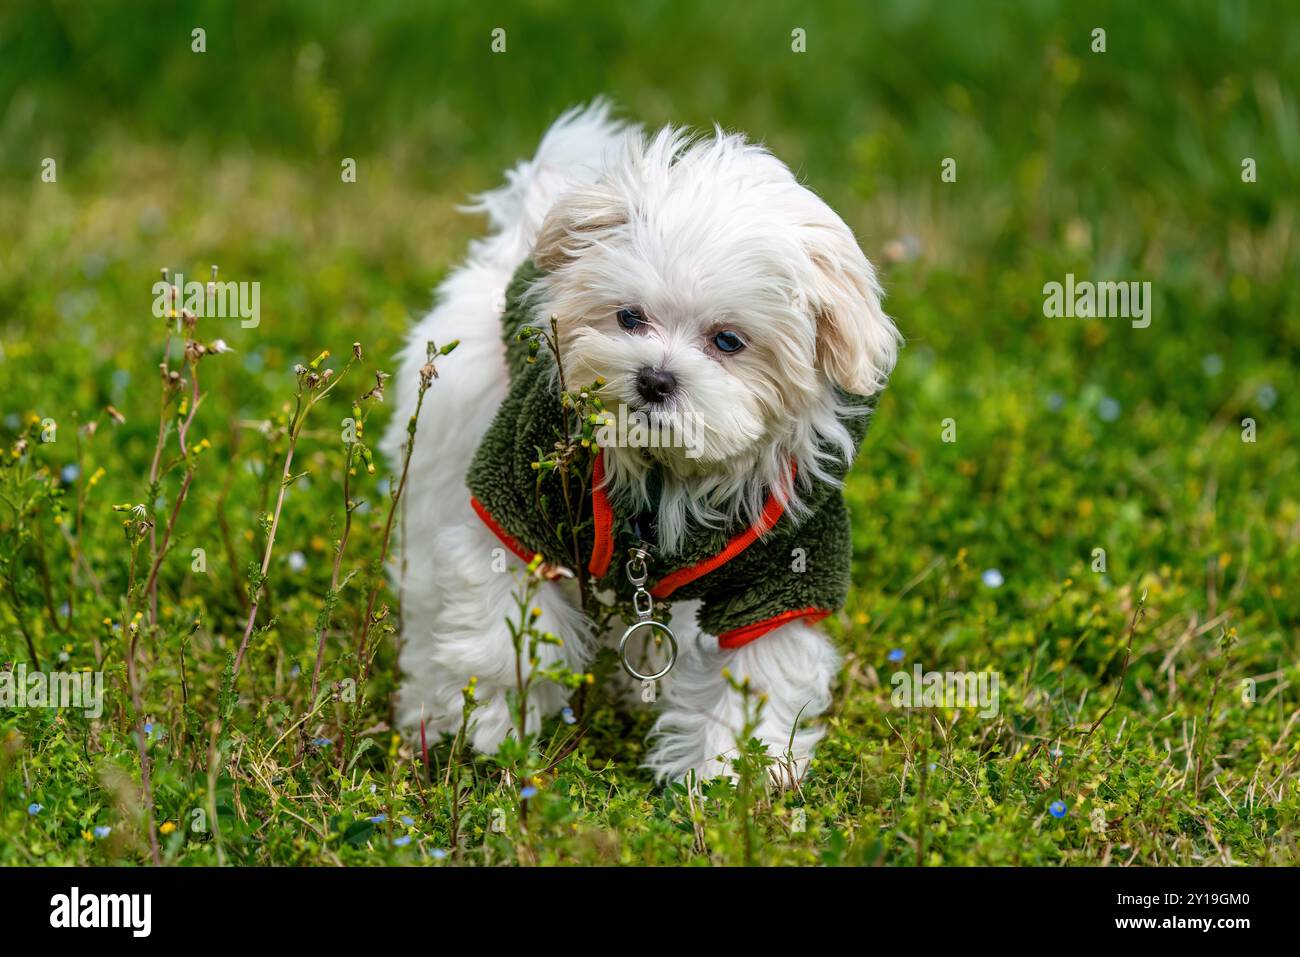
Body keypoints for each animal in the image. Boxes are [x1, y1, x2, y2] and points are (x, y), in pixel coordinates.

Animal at [379, 100, 899, 780]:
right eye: (629, 318)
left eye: (728, 341)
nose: (654, 378)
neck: (666, 469)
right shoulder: (517, 496)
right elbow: (497, 631)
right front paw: (494, 733)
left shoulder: (783, 569)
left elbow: (755, 678)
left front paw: (727, 778)